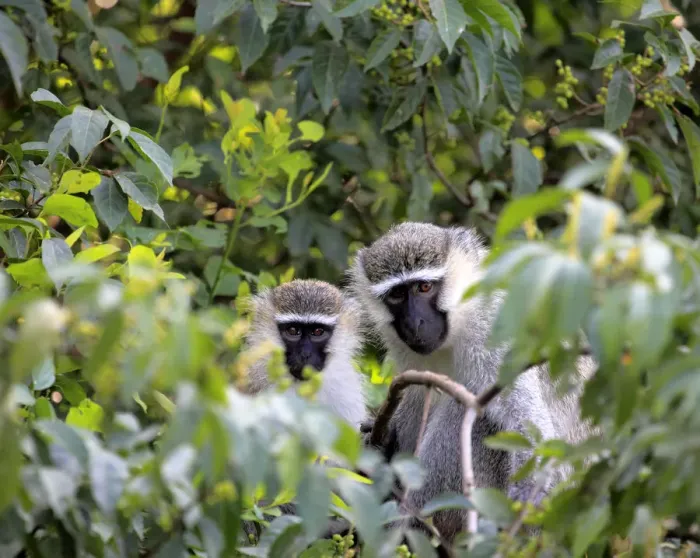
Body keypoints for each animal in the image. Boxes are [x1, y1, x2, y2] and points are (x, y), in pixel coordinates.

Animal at [348, 222, 596, 541]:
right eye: (397, 295)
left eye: (424, 287)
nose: (415, 323)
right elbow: (416, 399)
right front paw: (378, 439)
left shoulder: (491, 326)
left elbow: (522, 417)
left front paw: (530, 491)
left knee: (474, 416)